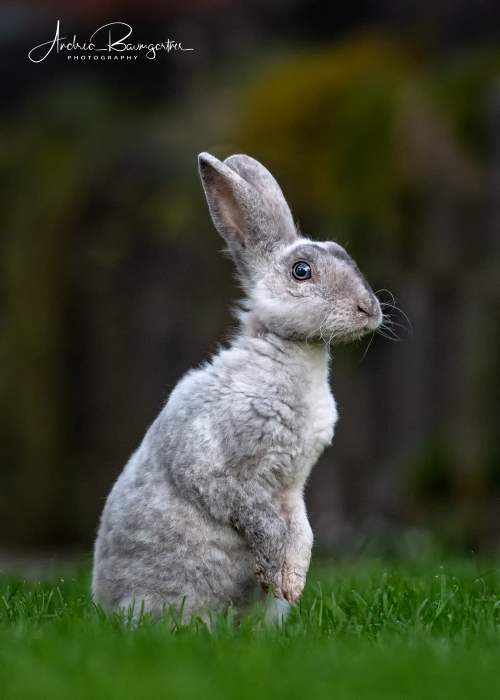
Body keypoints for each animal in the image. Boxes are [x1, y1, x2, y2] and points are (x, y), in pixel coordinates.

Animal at [93, 152, 382, 616]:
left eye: (344, 254)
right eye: (302, 271)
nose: (369, 309)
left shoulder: (292, 487)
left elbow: (303, 530)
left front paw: (291, 584)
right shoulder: (215, 470)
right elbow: (262, 519)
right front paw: (274, 572)